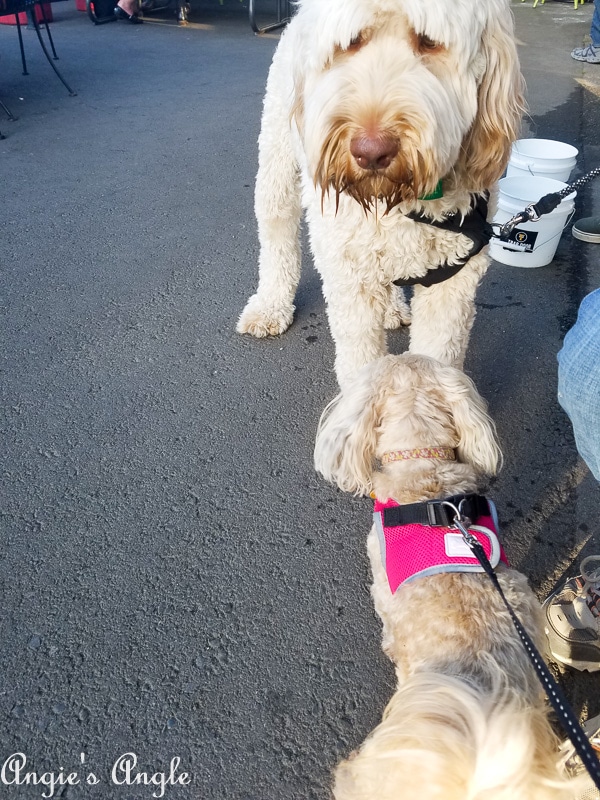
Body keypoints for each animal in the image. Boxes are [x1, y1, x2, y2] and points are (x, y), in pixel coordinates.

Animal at [237, 0, 524, 388]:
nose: (371, 151)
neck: (401, 200)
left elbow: (439, 353)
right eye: (351, 43)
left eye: (428, 42)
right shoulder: (348, 272)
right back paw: (269, 306)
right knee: (277, 231)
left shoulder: (454, 277)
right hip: (277, 156)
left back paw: (391, 308)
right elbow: (360, 358)